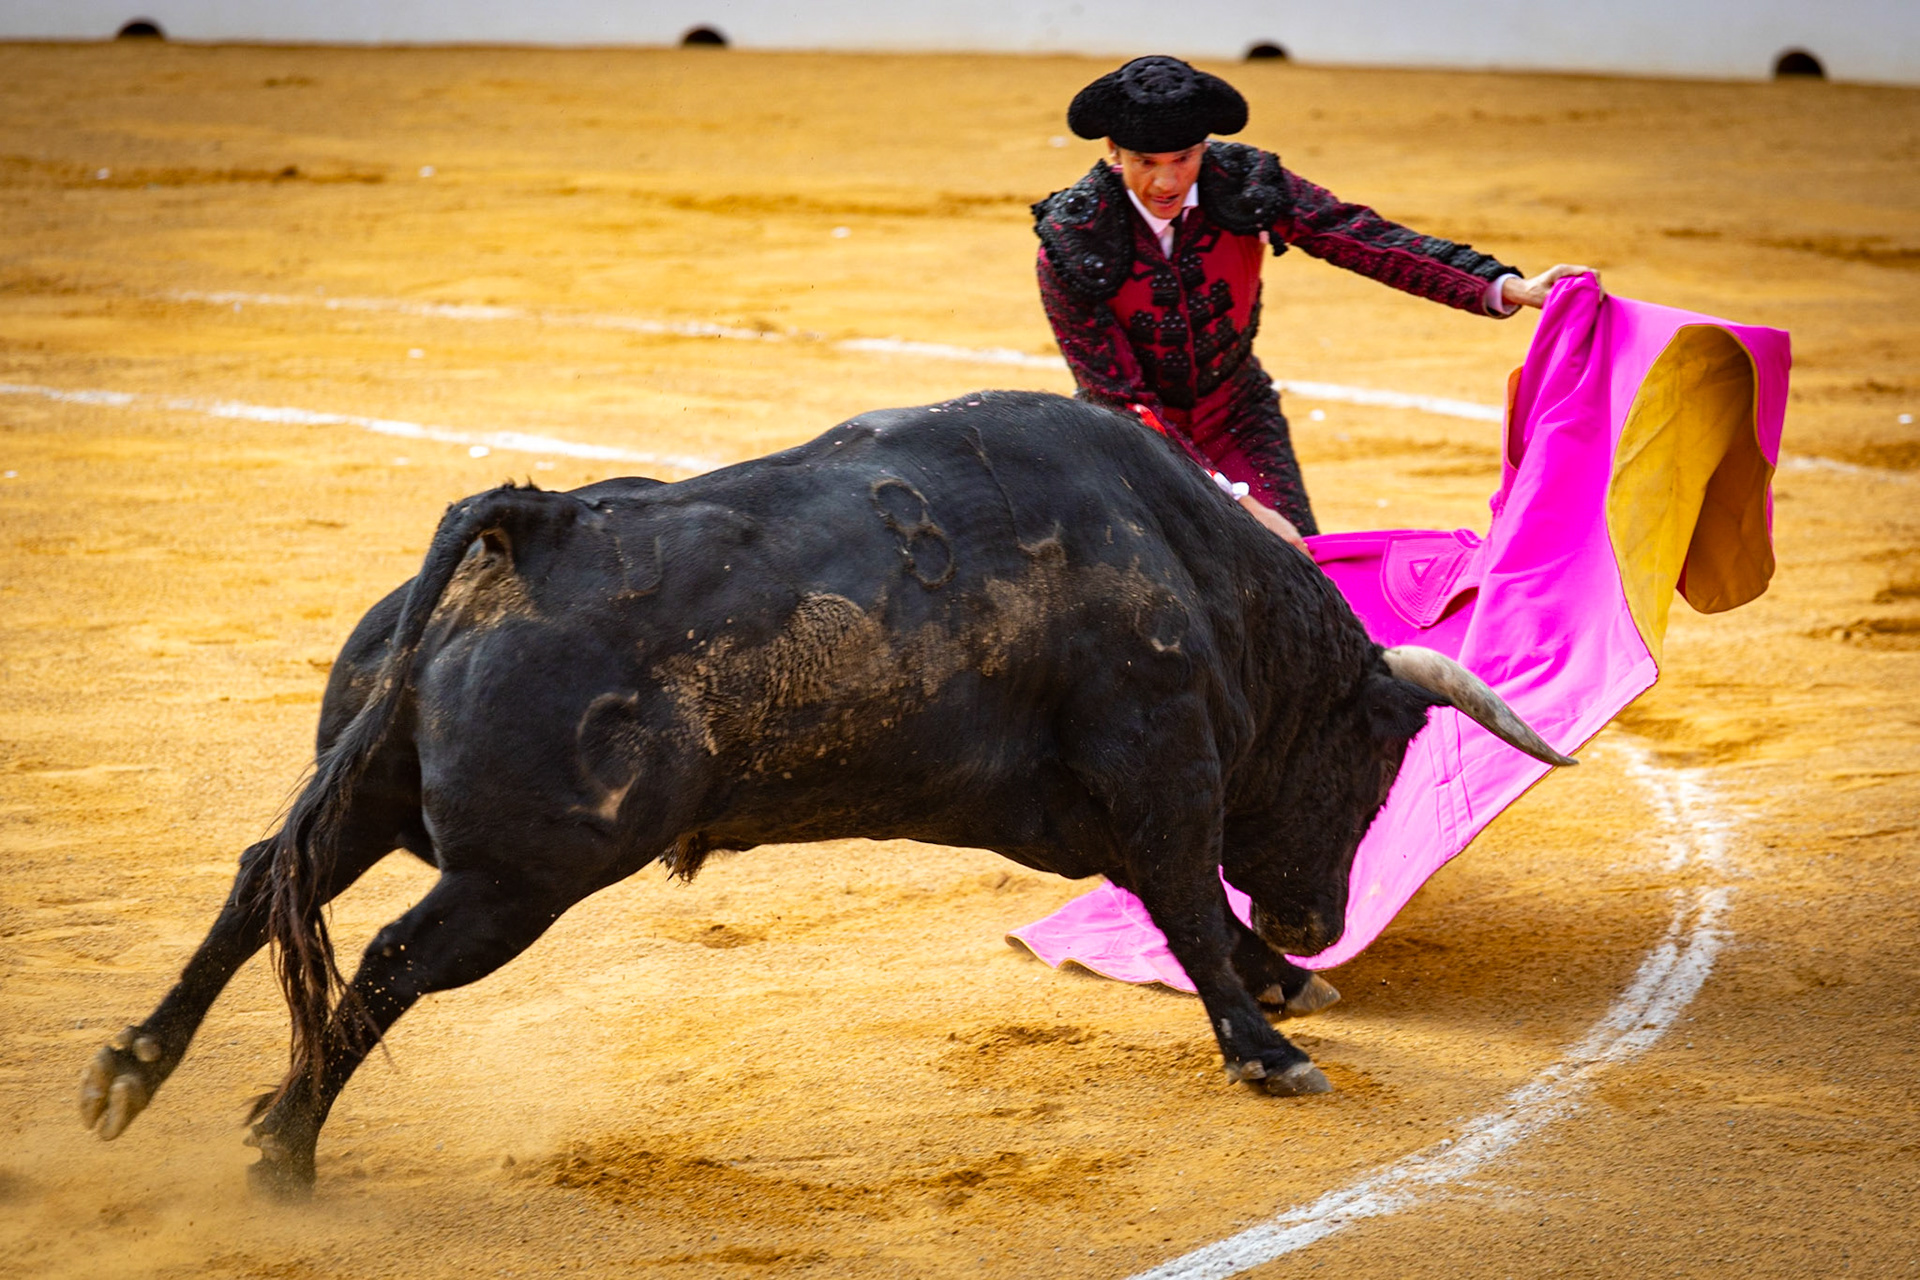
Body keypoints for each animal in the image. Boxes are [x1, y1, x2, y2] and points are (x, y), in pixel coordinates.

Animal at [77, 390, 1571, 1197]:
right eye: (1374, 758)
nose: (1322, 920)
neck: (1195, 570)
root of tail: (533, 525)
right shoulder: (1160, 767)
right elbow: (1191, 902)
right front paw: (1269, 1043)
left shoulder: (1096, 806)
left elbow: (1183, 904)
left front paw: (1281, 986)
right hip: (520, 877)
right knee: (385, 959)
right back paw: (281, 1150)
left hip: (377, 794)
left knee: (262, 879)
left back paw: (130, 1074)